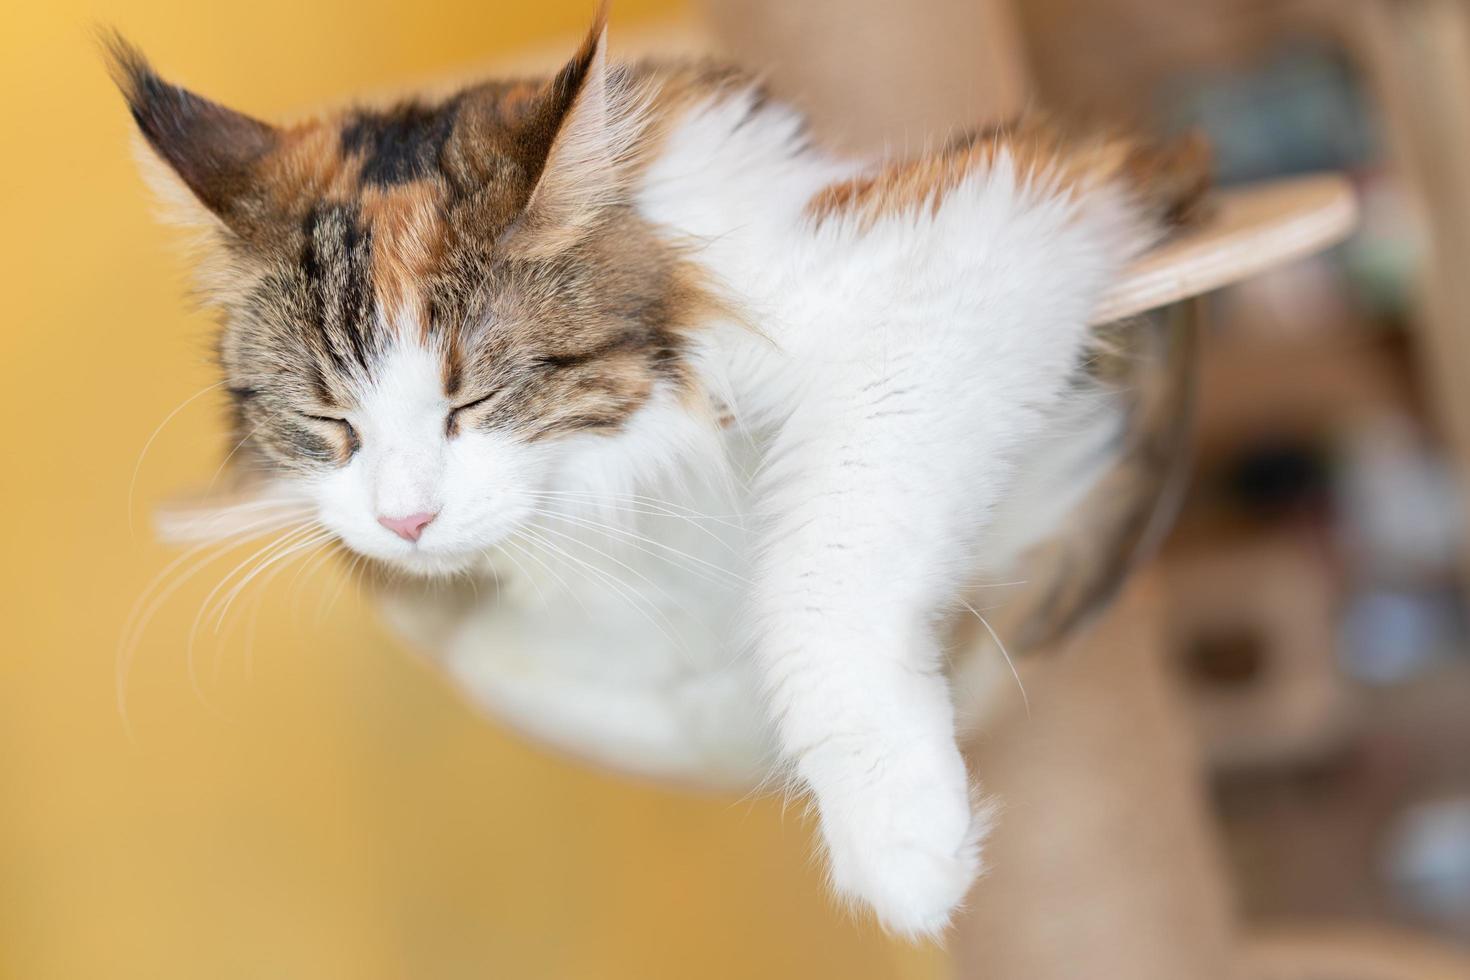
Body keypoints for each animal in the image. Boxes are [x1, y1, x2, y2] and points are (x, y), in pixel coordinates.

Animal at [103, 9, 1205, 940]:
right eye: (328, 420)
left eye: (473, 399)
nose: (406, 520)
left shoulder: (973, 226)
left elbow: (823, 565)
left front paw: (899, 833)